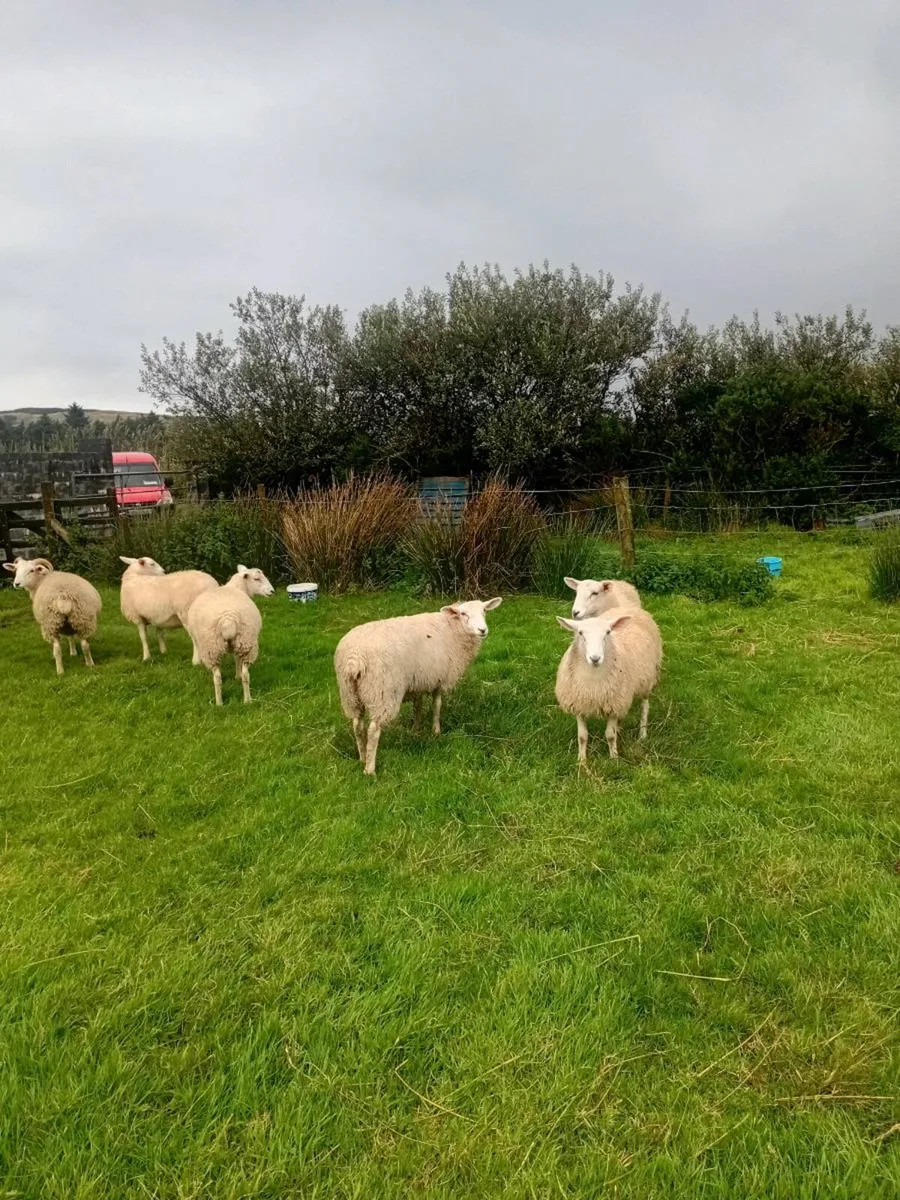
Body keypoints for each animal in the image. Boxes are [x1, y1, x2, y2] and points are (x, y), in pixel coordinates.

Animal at [184, 565, 274, 705]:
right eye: (257, 578)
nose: (272, 591)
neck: (238, 587)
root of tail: (228, 620)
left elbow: (236, 659)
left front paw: (236, 676)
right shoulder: (239, 644)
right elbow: (237, 659)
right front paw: (237, 676)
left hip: (213, 649)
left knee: (217, 678)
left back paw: (219, 703)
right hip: (246, 642)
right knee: (245, 675)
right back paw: (247, 700)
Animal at [334, 597, 503, 776]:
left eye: (484, 611)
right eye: (463, 613)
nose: (482, 630)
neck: (452, 628)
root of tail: (355, 658)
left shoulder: (419, 681)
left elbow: (418, 707)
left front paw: (415, 730)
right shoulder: (439, 678)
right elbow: (437, 705)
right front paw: (436, 731)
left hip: (350, 694)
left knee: (357, 725)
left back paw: (362, 757)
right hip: (383, 691)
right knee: (373, 730)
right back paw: (370, 769)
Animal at [554, 605, 662, 763]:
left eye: (607, 632)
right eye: (580, 633)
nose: (595, 658)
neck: (593, 681)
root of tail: (629, 607)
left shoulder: (614, 704)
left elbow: (610, 736)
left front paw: (614, 758)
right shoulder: (579, 704)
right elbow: (582, 736)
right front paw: (582, 761)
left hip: (647, 680)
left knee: (645, 707)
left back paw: (642, 733)